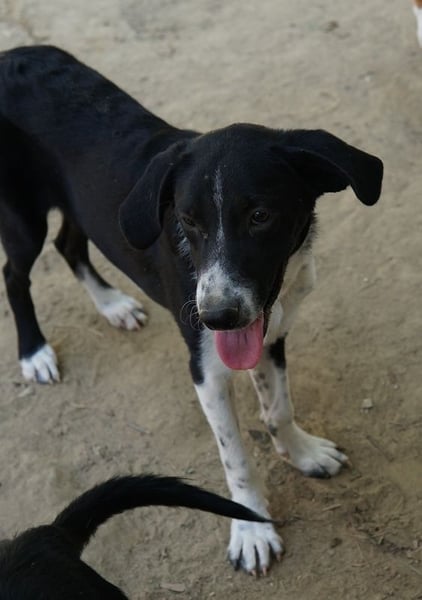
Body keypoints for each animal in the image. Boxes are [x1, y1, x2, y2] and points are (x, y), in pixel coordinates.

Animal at [0, 45, 383, 574]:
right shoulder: (207, 368)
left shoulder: (271, 334)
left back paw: (113, 305)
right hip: (21, 218)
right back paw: (34, 352)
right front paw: (252, 529)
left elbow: (279, 408)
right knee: (15, 274)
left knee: (69, 243)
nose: (218, 318)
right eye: (186, 221)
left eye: (261, 216)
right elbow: (235, 456)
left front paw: (302, 452)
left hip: (78, 206)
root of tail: (11, 54)